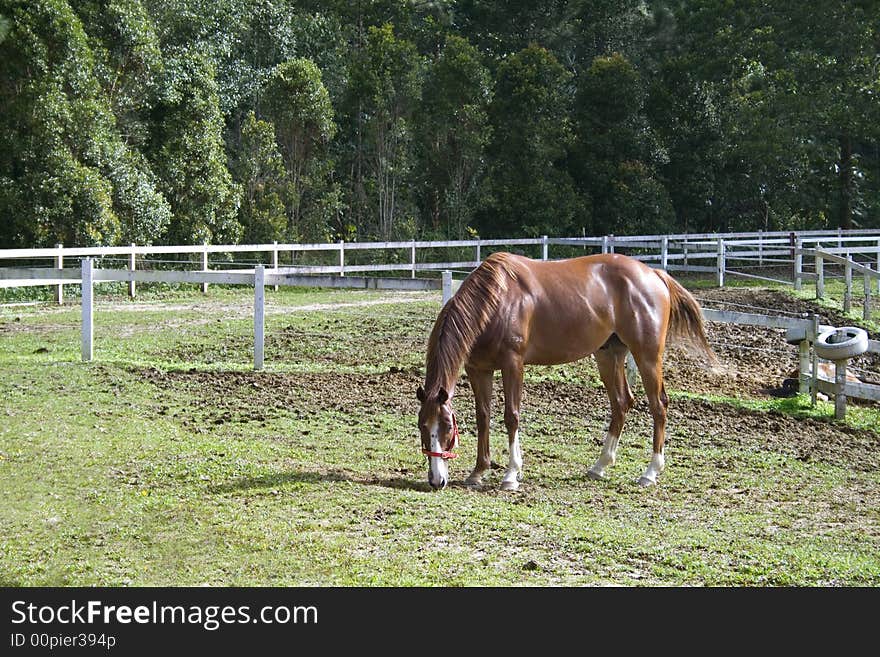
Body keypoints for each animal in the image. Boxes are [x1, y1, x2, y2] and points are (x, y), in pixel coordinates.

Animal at [418, 251, 716, 486]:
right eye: (422, 425)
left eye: (446, 427)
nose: (436, 480)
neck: (496, 300)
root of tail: (654, 274)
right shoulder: (479, 369)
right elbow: (483, 417)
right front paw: (478, 472)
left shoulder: (513, 364)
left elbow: (511, 416)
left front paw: (511, 474)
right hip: (609, 355)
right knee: (621, 403)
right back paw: (599, 466)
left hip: (647, 356)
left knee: (658, 405)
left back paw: (650, 472)